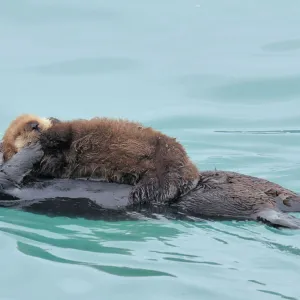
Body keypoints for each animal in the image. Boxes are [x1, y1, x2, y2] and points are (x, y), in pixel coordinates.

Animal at [1, 114, 202, 204]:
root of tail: (193, 173)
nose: (34, 125)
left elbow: (65, 131)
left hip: (166, 156)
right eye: (17, 134)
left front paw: (51, 129)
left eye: (39, 119)